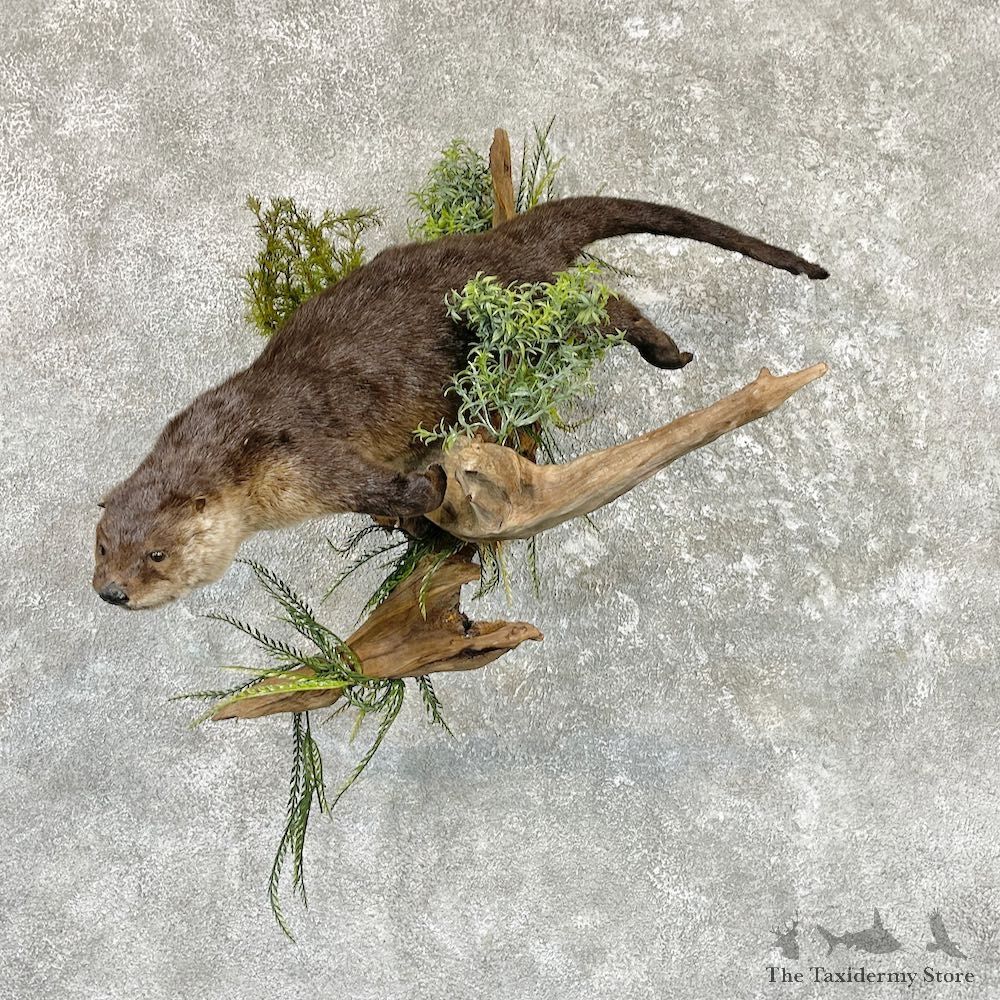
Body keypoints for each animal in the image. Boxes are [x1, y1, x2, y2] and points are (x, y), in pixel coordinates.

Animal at [92, 196, 828, 609]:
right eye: (101, 547)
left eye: (156, 554)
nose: (112, 592)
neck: (247, 452)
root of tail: (501, 239)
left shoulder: (315, 457)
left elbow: (408, 490)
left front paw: (424, 511)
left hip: (536, 299)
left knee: (608, 305)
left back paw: (667, 352)